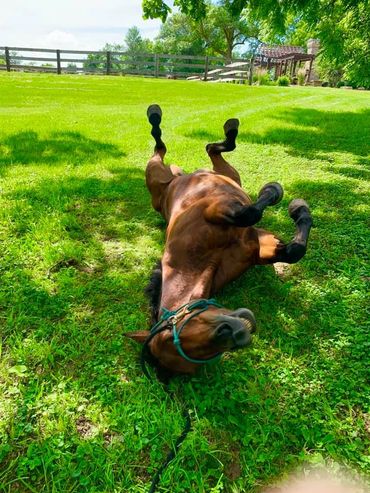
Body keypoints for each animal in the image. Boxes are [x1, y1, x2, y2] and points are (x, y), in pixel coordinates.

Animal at [125, 104, 312, 376]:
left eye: (171, 332)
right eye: (203, 356)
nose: (237, 333)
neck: (201, 262)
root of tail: (178, 177)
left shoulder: (217, 209)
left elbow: (253, 214)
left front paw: (283, 197)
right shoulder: (259, 245)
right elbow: (290, 249)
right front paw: (297, 208)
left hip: (165, 173)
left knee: (168, 146)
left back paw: (160, 115)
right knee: (207, 149)